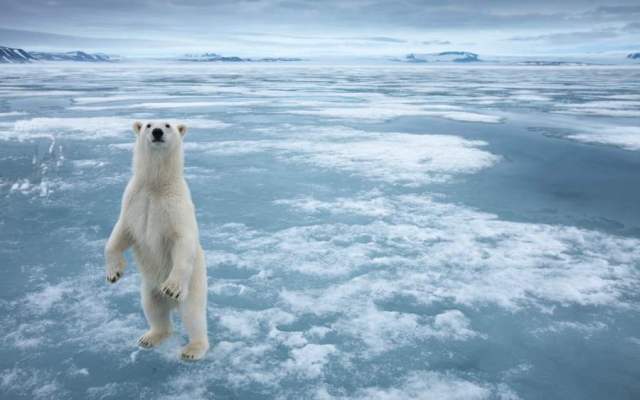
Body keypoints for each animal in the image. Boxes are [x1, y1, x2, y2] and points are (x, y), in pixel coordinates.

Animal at [103, 120, 208, 360]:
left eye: (168, 125)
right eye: (148, 124)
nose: (157, 132)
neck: (156, 184)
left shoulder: (176, 207)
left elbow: (183, 240)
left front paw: (171, 287)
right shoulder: (134, 201)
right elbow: (120, 233)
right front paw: (114, 273)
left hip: (194, 285)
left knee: (193, 315)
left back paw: (192, 349)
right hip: (149, 288)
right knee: (153, 309)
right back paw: (150, 337)